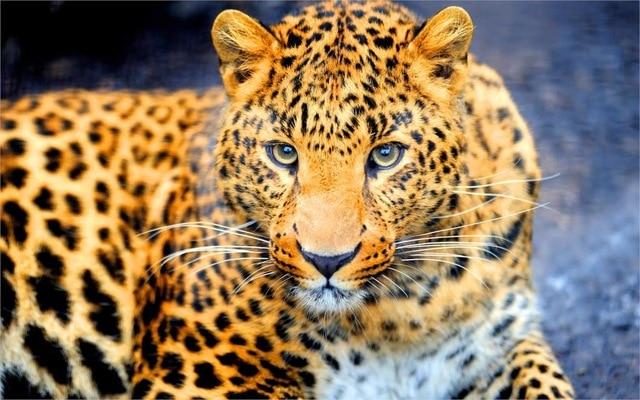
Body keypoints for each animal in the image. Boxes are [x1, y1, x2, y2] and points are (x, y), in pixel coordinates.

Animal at [0, 1, 576, 399]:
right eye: (283, 153)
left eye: (385, 155)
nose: (327, 261)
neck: (400, 315)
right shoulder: (194, 375)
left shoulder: (500, 342)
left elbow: (548, 384)